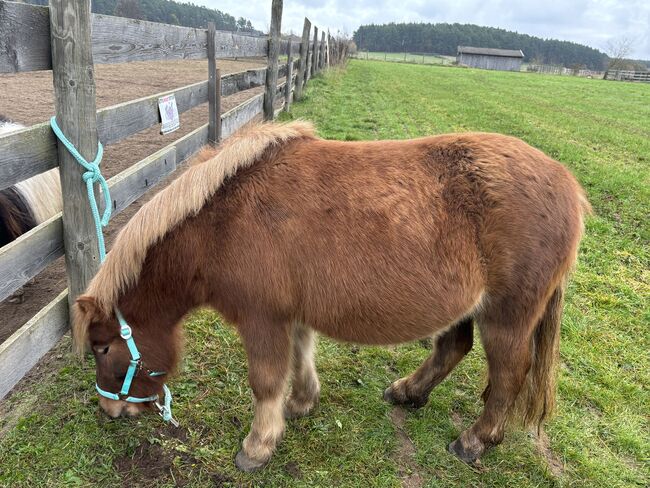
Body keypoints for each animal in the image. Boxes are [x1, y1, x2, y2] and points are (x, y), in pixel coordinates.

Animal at [72, 120, 588, 470]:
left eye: (102, 348)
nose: (110, 410)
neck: (222, 221)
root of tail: (567, 184)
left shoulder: (262, 319)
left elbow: (265, 380)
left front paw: (258, 446)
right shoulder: (291, 315)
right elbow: (301, 358)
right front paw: (301, 404)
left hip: (508, 317)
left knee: (508, 374)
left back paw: (475, 440)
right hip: (467, 308)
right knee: (453, 347)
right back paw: (409, 392)